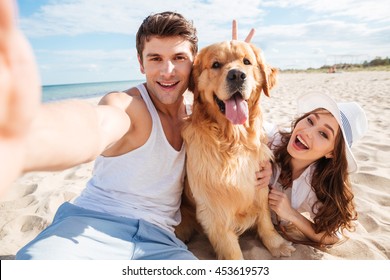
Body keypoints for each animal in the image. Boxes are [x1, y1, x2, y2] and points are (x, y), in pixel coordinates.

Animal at [175, 40, 294, 260]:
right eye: (215, 65)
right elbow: (231, 250)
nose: (237, 75)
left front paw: (277, 244)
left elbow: (265, 220)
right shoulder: (215, 210)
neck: (234, 141)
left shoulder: (259, 186)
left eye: (247, 62)